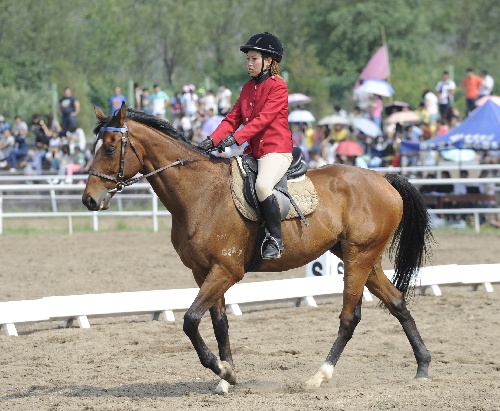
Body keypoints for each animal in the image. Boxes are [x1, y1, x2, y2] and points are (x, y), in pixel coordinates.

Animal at [82, 104, 434, 396]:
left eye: (110, 148)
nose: (89, 200)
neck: (201, 193)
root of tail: (383, 179)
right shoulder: (203, 272)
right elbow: (219, 323)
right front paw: (226, 378)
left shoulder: (226, 270)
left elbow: (191, 320)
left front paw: (224, 371)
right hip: (361, 257)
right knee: (397, 302)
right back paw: (423, 366)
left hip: (358, 258)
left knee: (350, 317)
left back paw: (318, 377)